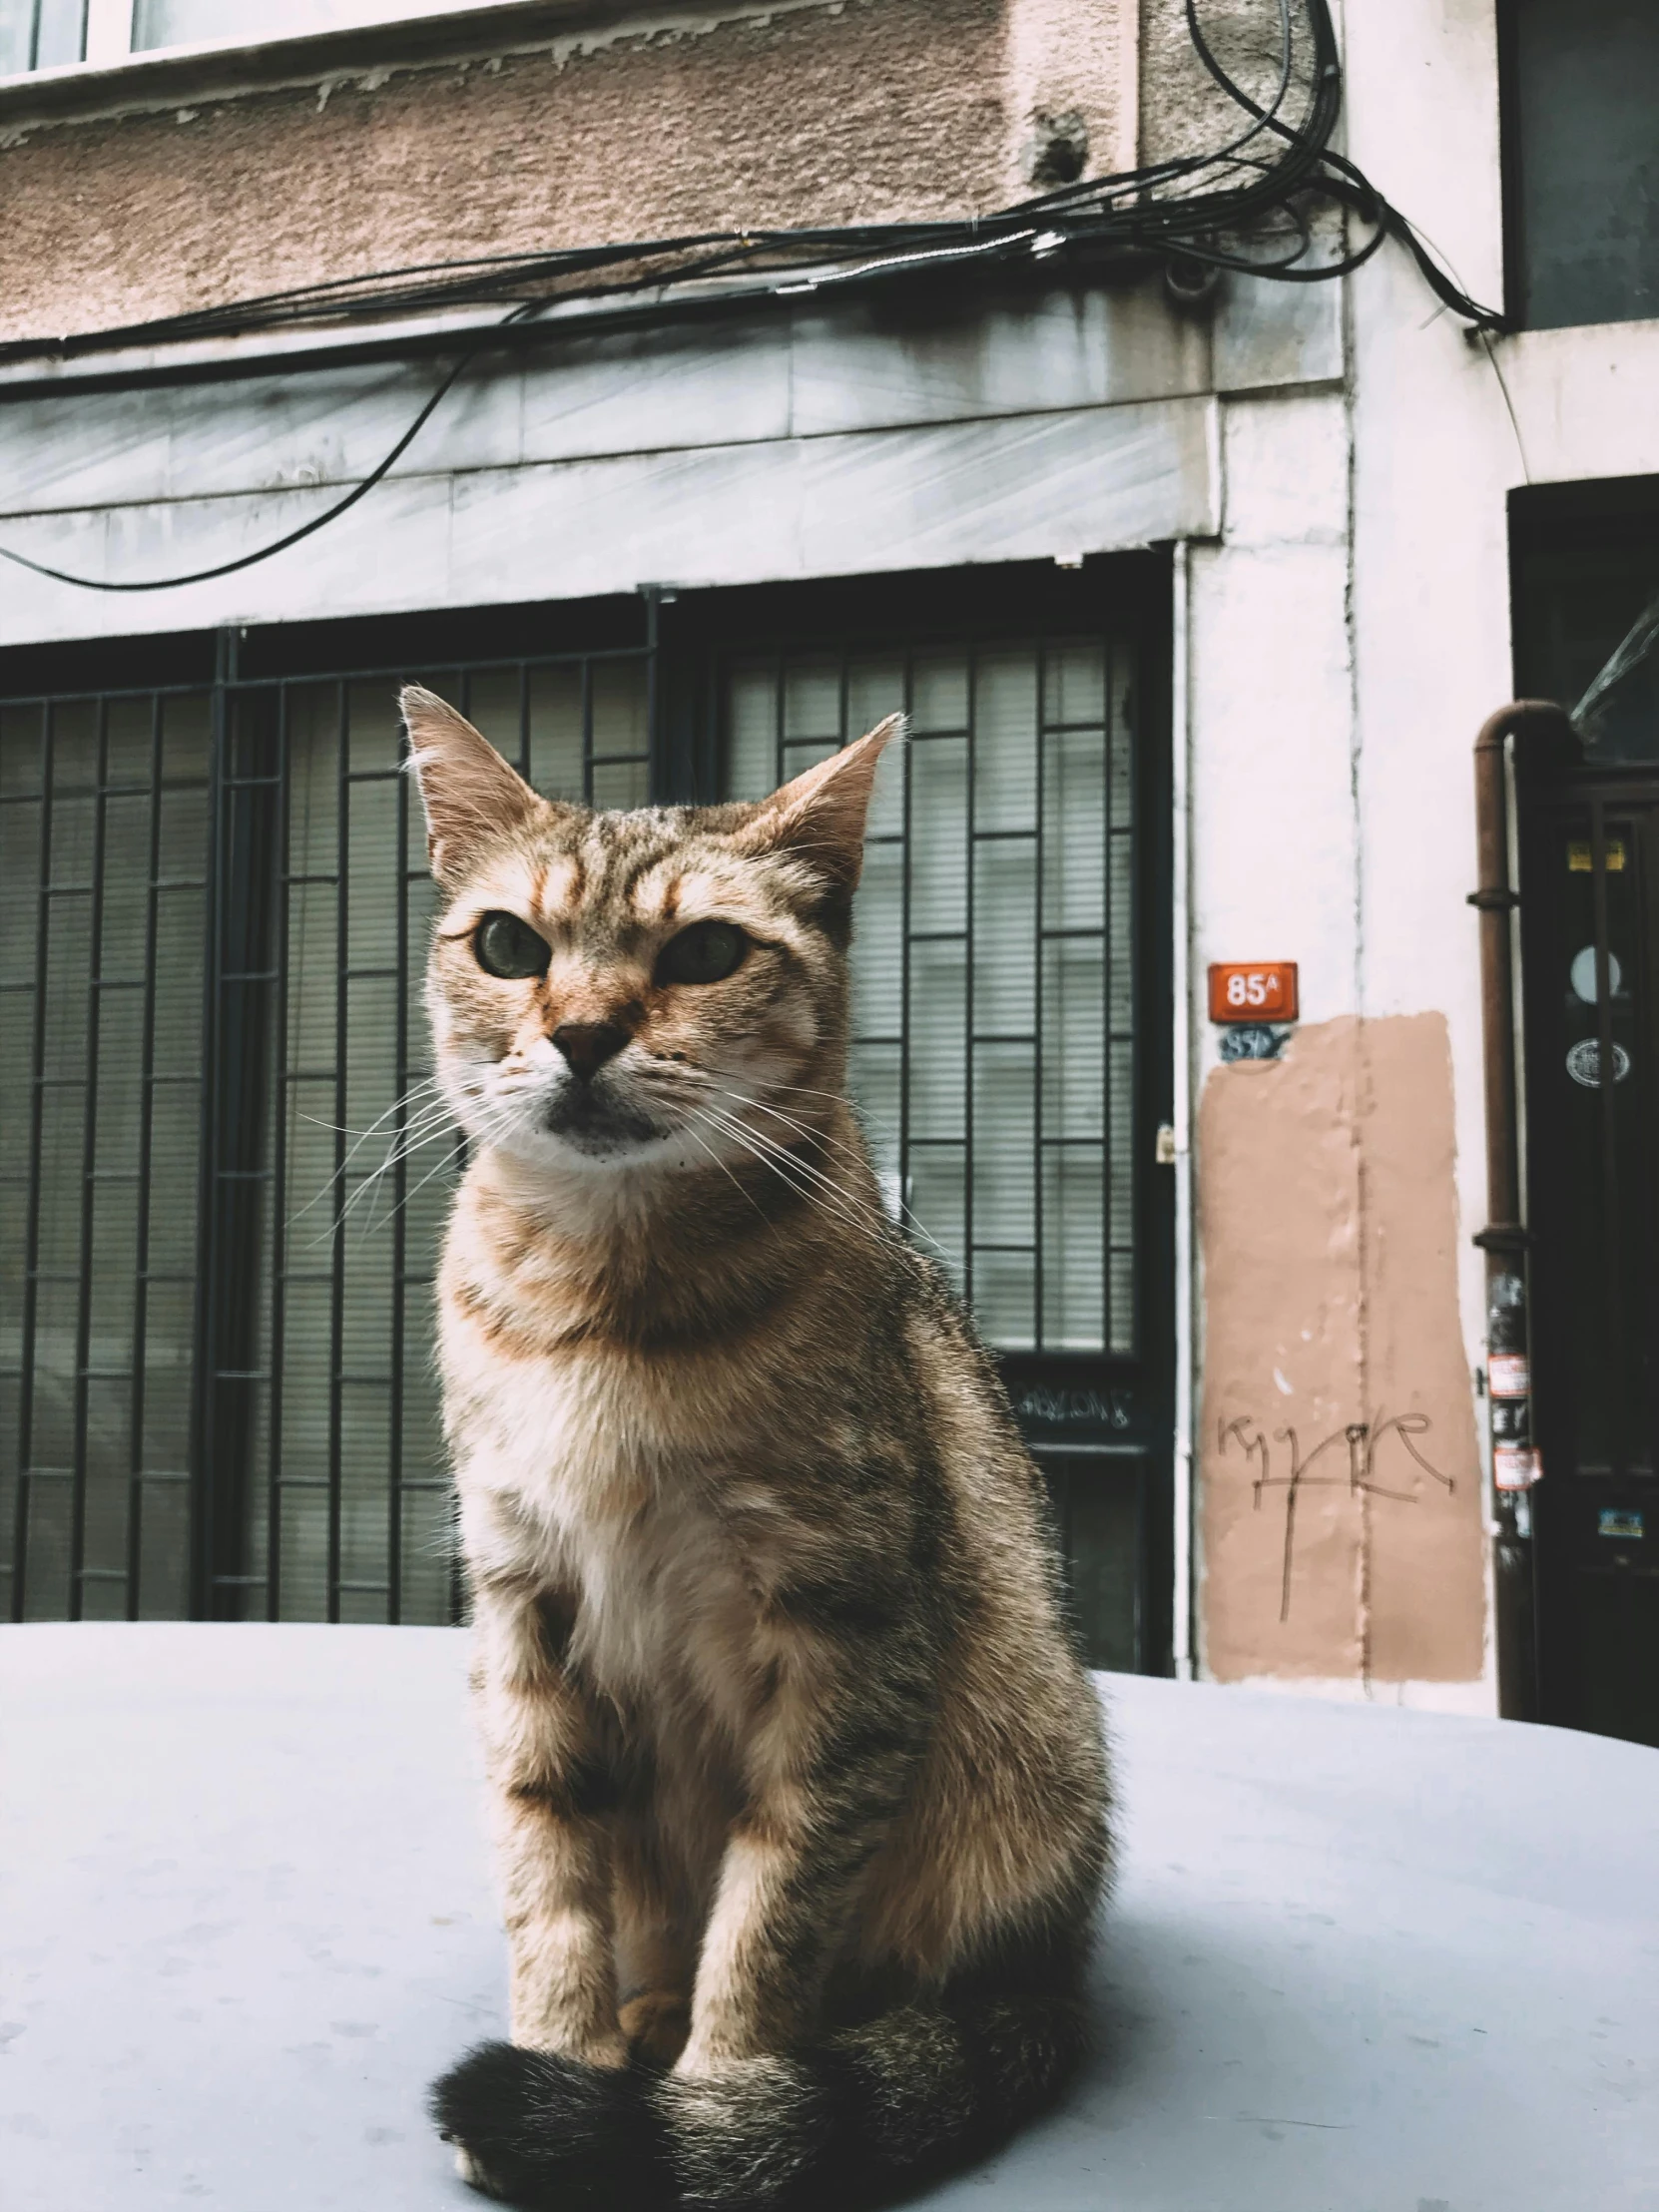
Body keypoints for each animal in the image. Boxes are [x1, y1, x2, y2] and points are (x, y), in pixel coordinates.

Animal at [411, 681, 1119, 2203]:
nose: (582, 1032)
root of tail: (1058, 1970)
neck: (605, 1302)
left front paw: (724, 2096)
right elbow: (546, 1865)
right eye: (507, 944)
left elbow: (775, 1907)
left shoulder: (845, 1635)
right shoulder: (520, 1601)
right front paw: (564, 2051)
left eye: (705, 951)